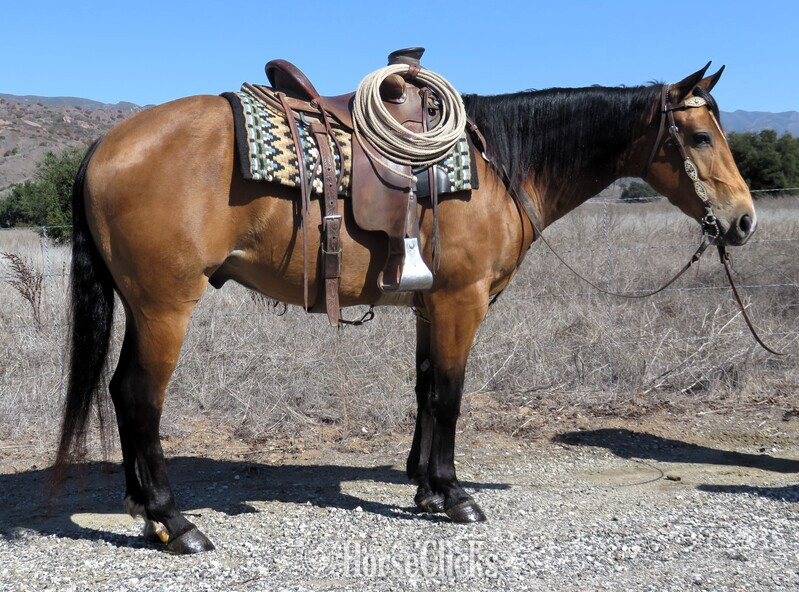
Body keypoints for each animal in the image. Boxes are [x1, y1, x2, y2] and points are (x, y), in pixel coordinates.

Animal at [53, 62, 755, 554]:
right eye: (698, 136)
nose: (742, 220)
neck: (499, 165)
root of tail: (107, 144)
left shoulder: (428, 304)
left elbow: (423, 389)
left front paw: (423, 486)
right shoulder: (460, 300)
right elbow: (449, 393)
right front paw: (454, 494)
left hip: (141, 305)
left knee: (119, 391)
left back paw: (143, 510)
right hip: (165, 306)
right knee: (140, 396)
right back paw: (174, 522)